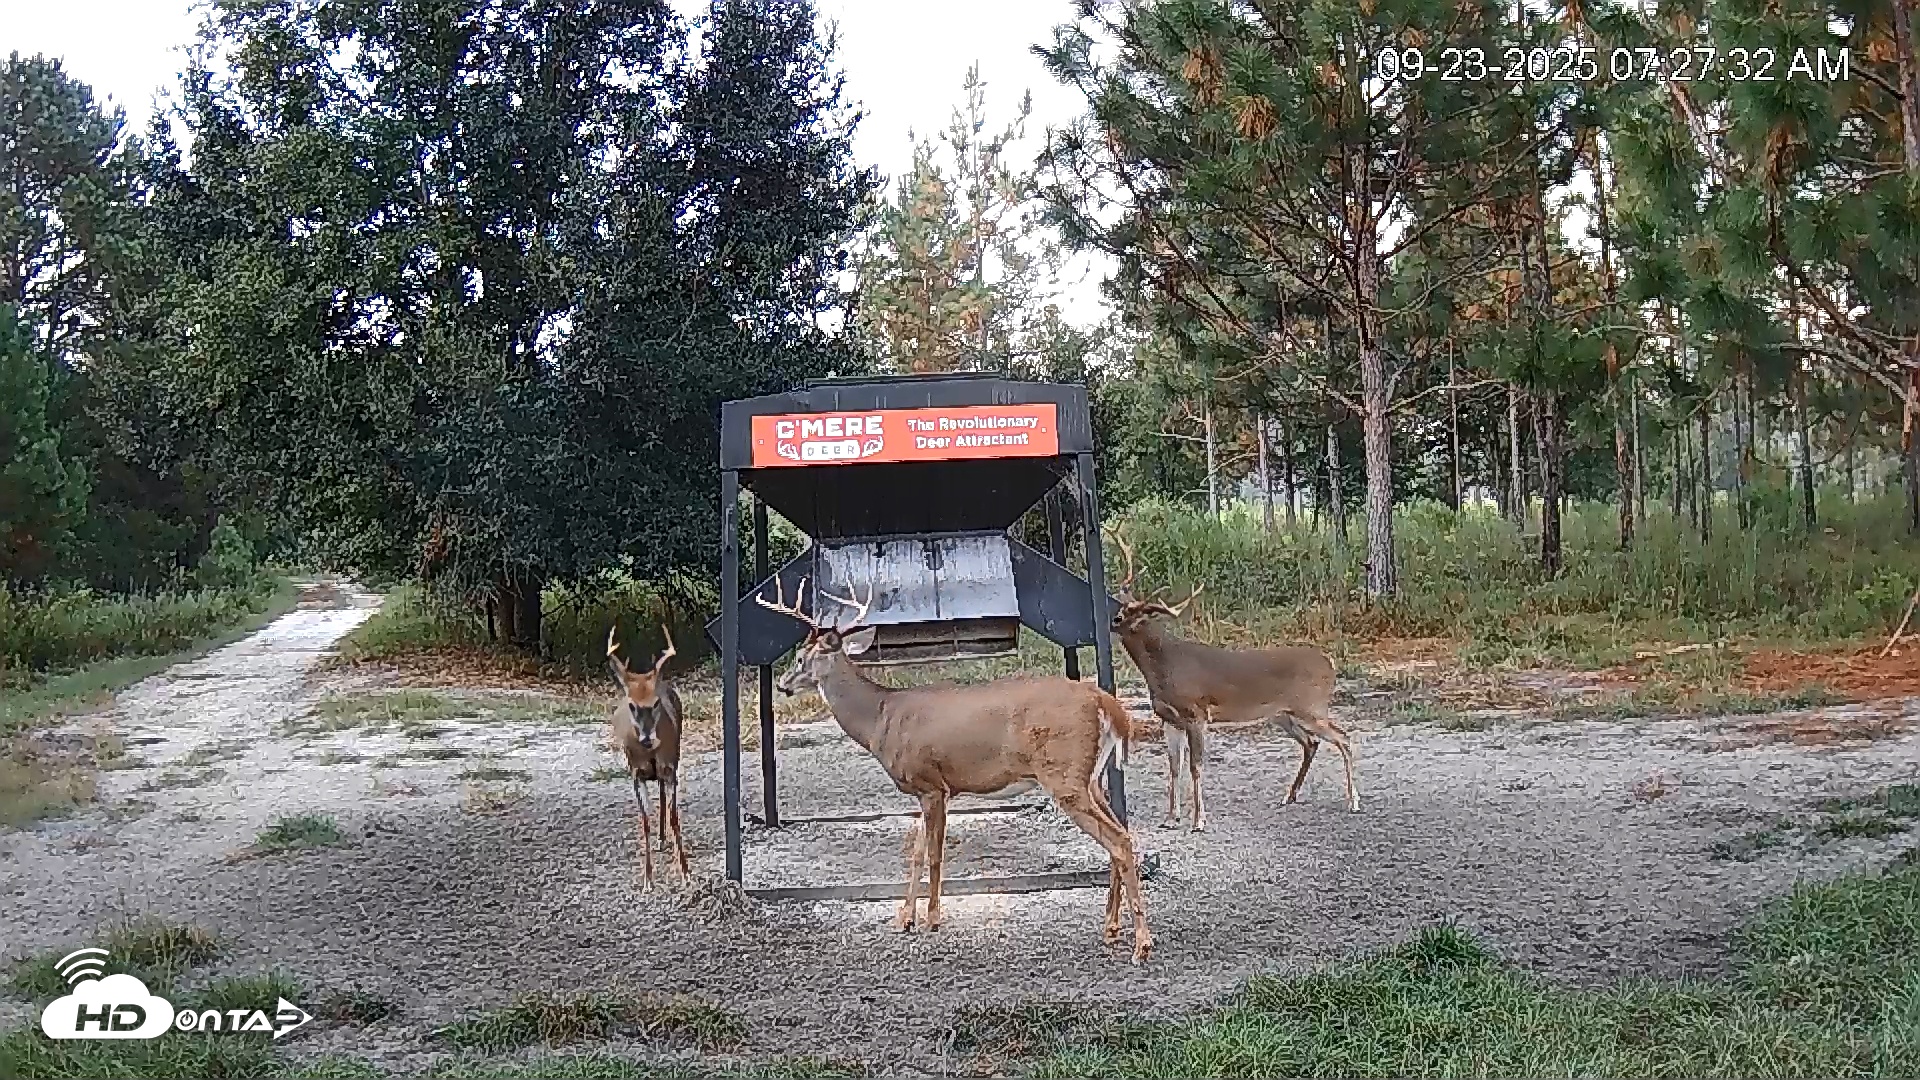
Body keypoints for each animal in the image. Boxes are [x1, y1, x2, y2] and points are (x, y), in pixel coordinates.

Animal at [606, 624, 692, 889]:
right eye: (632, 705)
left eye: (655, 704)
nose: (646, 739)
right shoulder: (636, 773)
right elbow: (644, 821)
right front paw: (647, 879)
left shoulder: (669, 768)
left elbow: (674, 817)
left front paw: (686, 873)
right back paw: (660, 840)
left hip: (674, 756)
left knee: (663, 795)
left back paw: (664, 839)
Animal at [756, 576, 1155, 963]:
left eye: (802, 658)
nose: (783, 685)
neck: (880, 718)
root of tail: (1104, 701)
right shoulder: (932, 789)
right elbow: (918, 852)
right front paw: (905, 919)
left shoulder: (931, 783)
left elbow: (934, 853)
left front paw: (930, 918)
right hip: (1090, 778)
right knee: (1122, 833)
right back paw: (1110, 928)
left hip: (1064, 773)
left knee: (1119, 840)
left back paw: (1141, 944)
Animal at [1107, 531, 1358, 830]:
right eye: (1124, 606)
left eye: (1137, 613)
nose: (1114, 619)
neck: (1164, 668)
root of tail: (1329, 663)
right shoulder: (1169, 718)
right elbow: (1173, 766)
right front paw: (1170, 817)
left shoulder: (1196, 714)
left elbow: (1195, 766)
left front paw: (1198, 820)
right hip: (1283, 714)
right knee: (1312, 743)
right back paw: (1289, 796)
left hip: (1311, 707)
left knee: (1343, 738)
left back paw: (1353, 801)